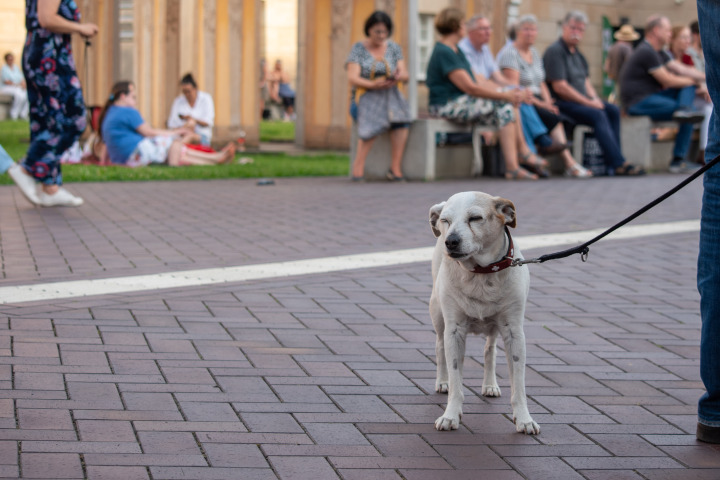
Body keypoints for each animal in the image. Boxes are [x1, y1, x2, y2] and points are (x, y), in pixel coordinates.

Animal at [430, 190, 536, 436]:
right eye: (445, 220)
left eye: (475, 218)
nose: (451, 241)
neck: (480, 274)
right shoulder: (454, 331)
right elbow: (456, 380)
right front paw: (450, 416)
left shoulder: (514, 332)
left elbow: (519, 384)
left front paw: (524, 419)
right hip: (438, 315)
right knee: (440, 348)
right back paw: (442, 381)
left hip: (495, 327)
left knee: (490, 350)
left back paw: (489, 385)